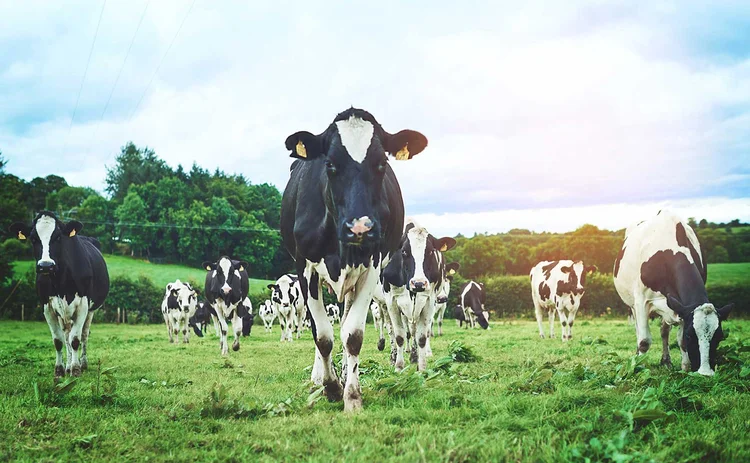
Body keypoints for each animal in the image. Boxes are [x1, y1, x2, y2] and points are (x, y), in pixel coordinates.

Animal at [10, 212, 109, 378]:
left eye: (57, 237)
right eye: (33, 238)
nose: (46, 266)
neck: (60, 282)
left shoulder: (82, 304)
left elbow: (75, 339)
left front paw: (76, 369)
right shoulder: (47, 306)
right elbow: (58, 340)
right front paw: (60, 369)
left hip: (91, 309)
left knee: (83, 334)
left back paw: (82, 363)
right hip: (63, 314)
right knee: (66, 334)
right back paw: (68, 365)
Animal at [280, 107, 427, 411]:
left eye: (382, 163)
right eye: (330, 164)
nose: (360, 228)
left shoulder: (372, 266)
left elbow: (353, 335)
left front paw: (351, 394)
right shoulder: (305, 268)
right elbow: (322, 336)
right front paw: (330, 386)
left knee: (346, 319)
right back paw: (318, 376)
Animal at [381, 219, 457, 370]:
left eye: (431, 251)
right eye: (404, 252)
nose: (419, 283)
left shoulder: (429, 301)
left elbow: (422, 337)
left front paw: (422, 368)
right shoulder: (391, 301)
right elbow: (399, 336)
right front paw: (398, 367)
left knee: (416, 331)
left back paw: (416, 356)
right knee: (400, 330)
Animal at [613, 210, 733, 375]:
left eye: (720, 336)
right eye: (691, 335)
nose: (705, 373)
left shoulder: (681, 306)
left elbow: (680, 341)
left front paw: (685, 368)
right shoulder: (642, 300)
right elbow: (644, 341)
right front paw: (638, 367)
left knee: (664, 331)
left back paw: (666, 361)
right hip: (632, 304)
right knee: (638, 330)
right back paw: (637, 357)